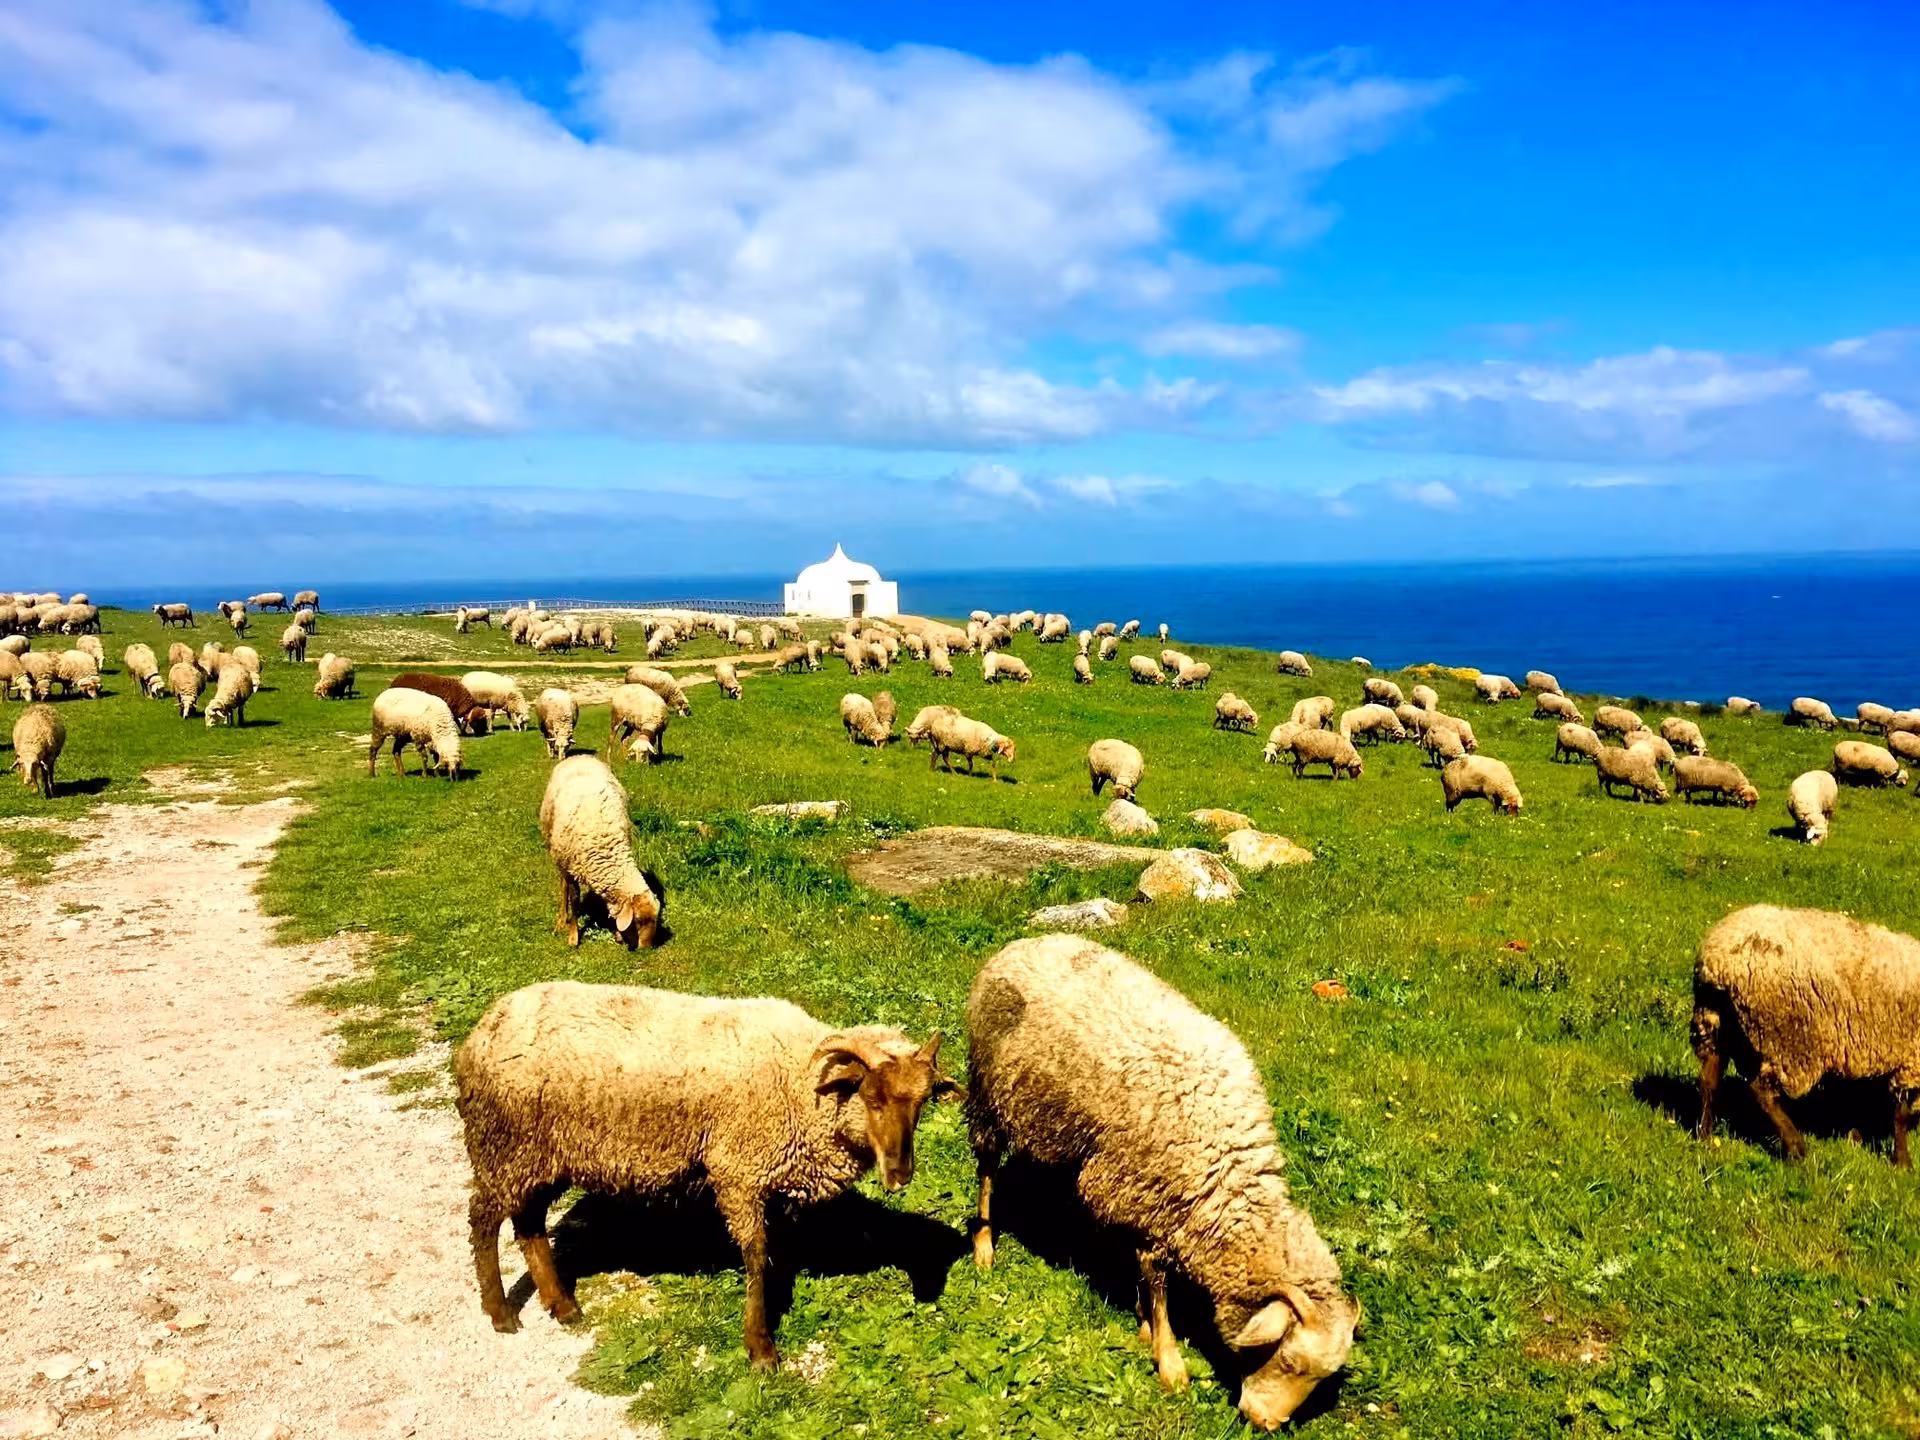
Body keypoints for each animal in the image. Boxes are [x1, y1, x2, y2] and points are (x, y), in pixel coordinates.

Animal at [456, 981, 956, 1360]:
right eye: (872, 1097)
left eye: (923, 1102)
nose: (900, 1174)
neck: (800, 1080)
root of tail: (482, 1030)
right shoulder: (738, 1170)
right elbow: (755, 1255)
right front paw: (760, 1347)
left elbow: (777, 1249)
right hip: (505, 1145)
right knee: (482, 1218)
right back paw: (500, 1312)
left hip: (539, 1155)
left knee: (529, 1225)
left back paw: (562, 1305)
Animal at [965, 936, 1357, 1426]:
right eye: (1288, 1360)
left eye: (1319, 1379)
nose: (1266, 1423)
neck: (1224, 1164)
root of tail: (1023, 942)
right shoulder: (1145, 1194)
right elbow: (1158, 1285)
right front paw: (1168, 1358)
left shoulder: (1143, 1196)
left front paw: (1142, 1323)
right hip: (987, 1091)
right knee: (985, 1168)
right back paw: (984, 1247)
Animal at [1692, 905, 1920, 1167]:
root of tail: (1717, 960)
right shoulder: (1910, 1061)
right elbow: (1901, 1114)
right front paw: (1903, 1161)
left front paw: (1855, 1136)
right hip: (1792, 1042)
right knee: (1762, 1091)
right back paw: (1796, 1147)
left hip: (1714, 1024)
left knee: (1709, 1080)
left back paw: (1705, 1136)